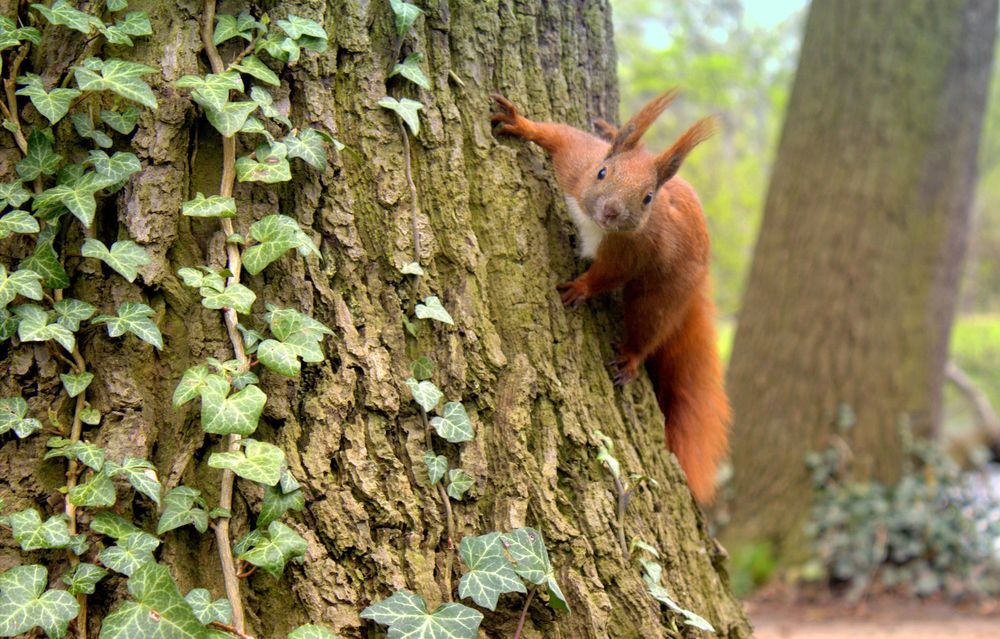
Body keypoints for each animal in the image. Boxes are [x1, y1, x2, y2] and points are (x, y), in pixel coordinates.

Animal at [490, 90, 732, 502]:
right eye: (603, 172)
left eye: (648, 198)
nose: (611, 211)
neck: (594, 224)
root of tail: (700, 279)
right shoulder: (577, 163)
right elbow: (559, 136)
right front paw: (521, 123)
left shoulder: (631, 250)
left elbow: (606, 276)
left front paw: (579, 288)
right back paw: (611, 127)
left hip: (664, 292)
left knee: (649, 324)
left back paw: (631, 356)